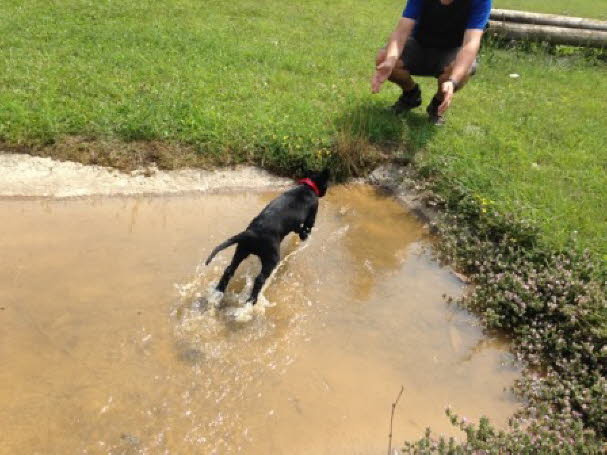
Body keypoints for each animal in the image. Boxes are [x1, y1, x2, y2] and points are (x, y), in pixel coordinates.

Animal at [205, 169, 330, 304]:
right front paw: (305, 236)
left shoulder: (295, 225)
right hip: (271, 258)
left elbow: (299, 229)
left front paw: (302, 235)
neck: (307, 187)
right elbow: (307, 227)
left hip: (241, 250)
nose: (325, 193)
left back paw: (219, 291)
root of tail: (252, 233)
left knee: (229, 270)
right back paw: (252, 300)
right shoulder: (311, 215)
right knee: (259, 279)